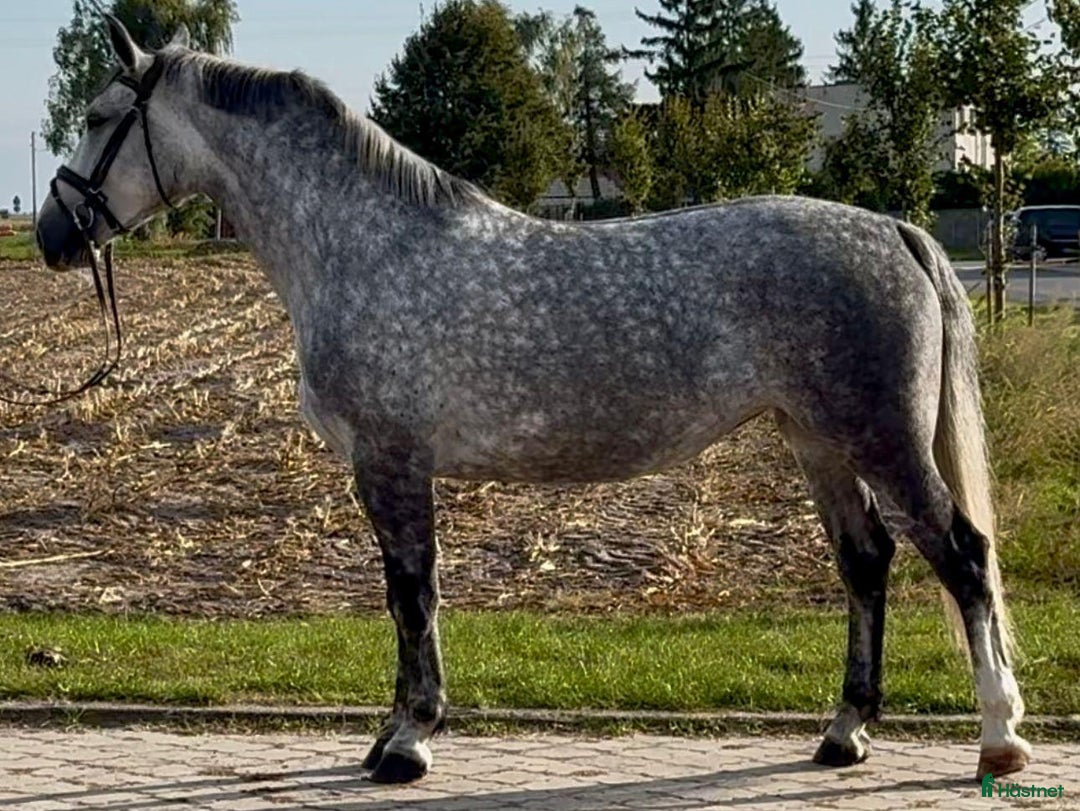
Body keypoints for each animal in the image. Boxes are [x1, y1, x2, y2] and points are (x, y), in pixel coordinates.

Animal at [36, 15, 1030, 785]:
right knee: (866, 563)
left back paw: (998, 735)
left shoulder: (391, 461)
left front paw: (408, 740)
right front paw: (391, 733)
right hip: (817, 438)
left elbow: (412, 591)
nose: (51, 234)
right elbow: (404, 593)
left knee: (962, 556)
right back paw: (844, 733)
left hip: (882, 437)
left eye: (97, 118)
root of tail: (895, 231)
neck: (364, 245)